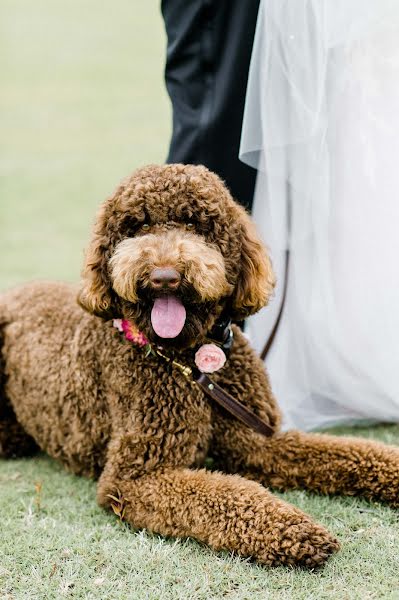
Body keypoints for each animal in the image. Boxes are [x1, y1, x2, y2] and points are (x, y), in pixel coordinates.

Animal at [0, 164, 399, 568]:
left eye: (194, 223)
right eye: (137, 226)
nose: (164, 276)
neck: (188, 361)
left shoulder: (256, 441)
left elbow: (342, 451)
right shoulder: (135, 476)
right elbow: (223, 494)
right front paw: (293, 528)